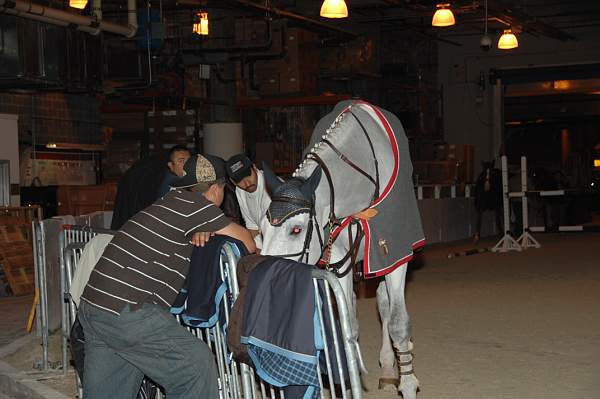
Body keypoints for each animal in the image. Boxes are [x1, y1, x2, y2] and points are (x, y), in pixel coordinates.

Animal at [260, 101, 424, 399]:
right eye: (263, 231)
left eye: (296, 230)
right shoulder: (338, 259)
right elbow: (350, 324)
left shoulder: (393, 254)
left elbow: (397, 322)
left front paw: (408, 383)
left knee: (385, 304)